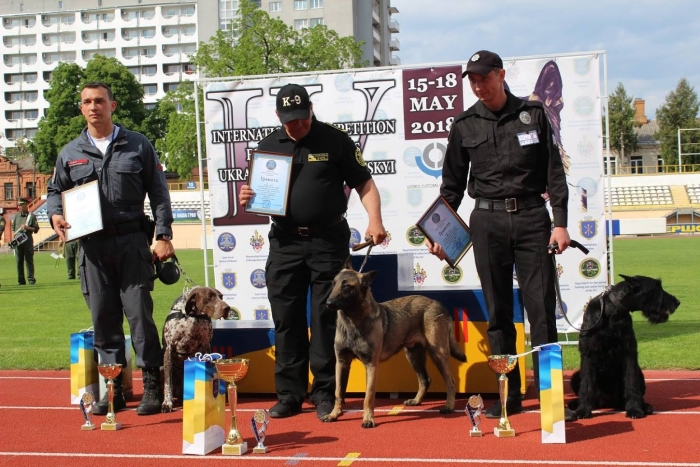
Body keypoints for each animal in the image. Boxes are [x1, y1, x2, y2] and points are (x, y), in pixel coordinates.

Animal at [161, 286, 230, 414]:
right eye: (209, 297)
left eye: (221, 297)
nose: (227, 308)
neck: (192, 316)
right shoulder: (168, 349)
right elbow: (168, 383)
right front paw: (167, 403)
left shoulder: (206, 346)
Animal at [322, 258, 464, 430]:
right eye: (333, 283)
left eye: (346, 287)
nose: (328, 303)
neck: (353, 321)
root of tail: (437, 302)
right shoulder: (342, 363)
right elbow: (339, 392)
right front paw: (334, 414)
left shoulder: (371, 365)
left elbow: (368, 396)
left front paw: (368, 419)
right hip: (413, 356)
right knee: (425, 379)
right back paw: (416, 401)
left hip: (437, 353)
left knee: (450, 382)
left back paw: (449, 406)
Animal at [568, 274, 680, 420]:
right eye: (656, 288)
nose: (677, 302)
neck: (612, 312)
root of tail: (607, 402)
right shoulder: (588, 353)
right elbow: (586, 385)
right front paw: (583, 410)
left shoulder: (629, 352)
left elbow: (631, 383)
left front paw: (634, 409)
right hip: (576, 376)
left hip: (640, 374)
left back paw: (644, 406)